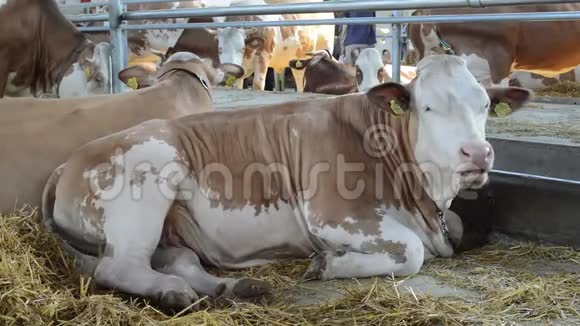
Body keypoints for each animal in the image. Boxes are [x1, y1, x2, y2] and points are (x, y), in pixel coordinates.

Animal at [40, 54, 532, 312]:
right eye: (427, 107)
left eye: (484, 105)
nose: (477, 154)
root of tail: (68, 164)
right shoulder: (331, 213)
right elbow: (411, 252)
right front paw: (326, 264)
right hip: (146, 184)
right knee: (116, 267)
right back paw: (174, 293)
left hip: (170, 227)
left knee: (177, 259)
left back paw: (229, 289)